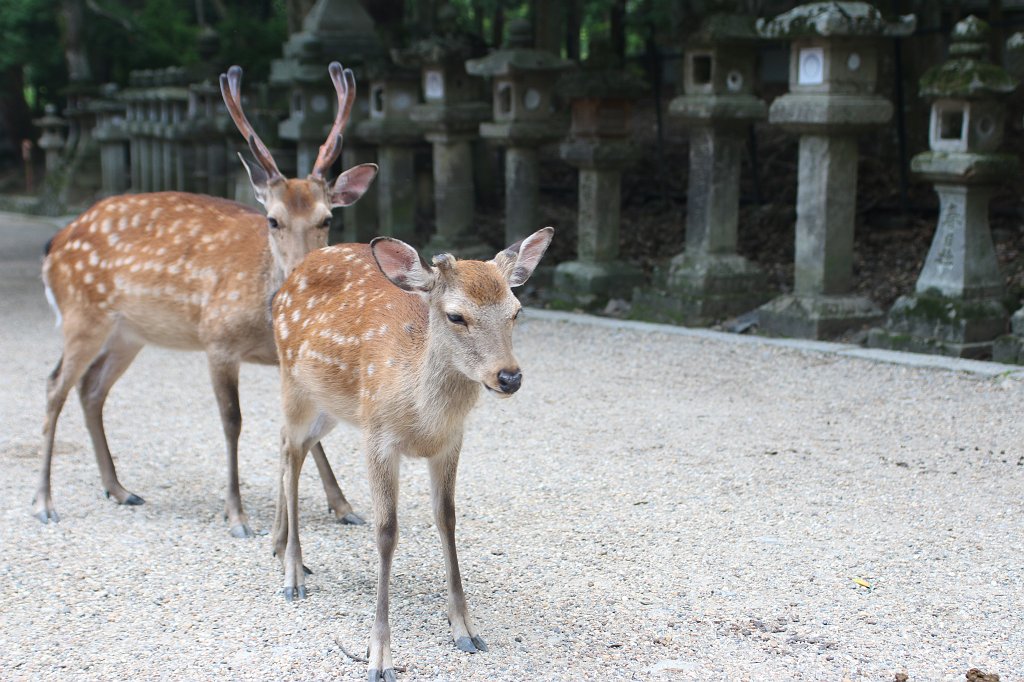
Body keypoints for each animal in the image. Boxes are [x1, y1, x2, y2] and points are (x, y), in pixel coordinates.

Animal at [36, 59, 382, 536]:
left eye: (327, 218)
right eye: (273, 220)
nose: (301, 273)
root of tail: (55, 243)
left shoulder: (288, 360)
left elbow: (300, 425)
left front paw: (345, 506)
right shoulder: (217, 341)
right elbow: (232, 422)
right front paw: (236, 515)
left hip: (128, 333)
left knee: (91, 388)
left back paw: (120, 489)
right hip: (81, 315)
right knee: (55, 385)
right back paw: (45, 502)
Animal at [266, 225, 552, 675]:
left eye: (517, 311)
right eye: (456, 316)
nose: (509, 377)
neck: (423, 418)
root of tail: (291, 276)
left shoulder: (450, 443)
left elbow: (447, 519)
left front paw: (465, 629)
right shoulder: (378, 437)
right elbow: (386, 532)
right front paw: (379, 655)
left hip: (331, 406)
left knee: (286, 444)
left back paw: (278, 546)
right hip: (293, 383)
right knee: (291, 453)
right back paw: (293, 572)